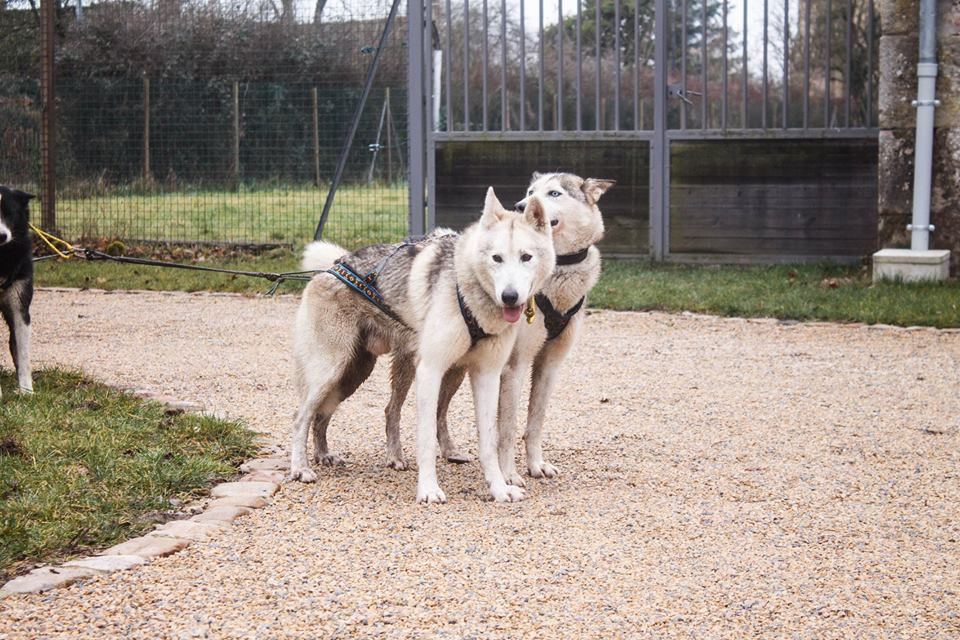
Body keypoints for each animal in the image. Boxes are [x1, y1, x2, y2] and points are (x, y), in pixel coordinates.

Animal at [290, 188, 555, 503]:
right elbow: (427, 439)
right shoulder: (431, 371)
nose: (510, 296)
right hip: (330, 371)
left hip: (355, 374)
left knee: (331, 415)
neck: (468, 292)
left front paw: (499, 488)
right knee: (301, 417)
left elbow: (490, 441)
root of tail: (331, 267)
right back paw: (301, 468)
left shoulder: (487, 376)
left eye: (526, 257)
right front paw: (428, 489)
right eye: (497, 258)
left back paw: (326, 455)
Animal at [383, 172, 613, 484]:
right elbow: (507, 428)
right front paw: (509, 475)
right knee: (392, 409)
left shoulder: (550, 364)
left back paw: (450, 451)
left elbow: (535, 421)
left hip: (457, 369)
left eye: (553, 193)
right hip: (414, 364)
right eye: (530, 191)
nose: (519, 206)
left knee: (440, 411)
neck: (555, 282)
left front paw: (536, 464)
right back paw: (396, 456)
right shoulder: (514, 366)